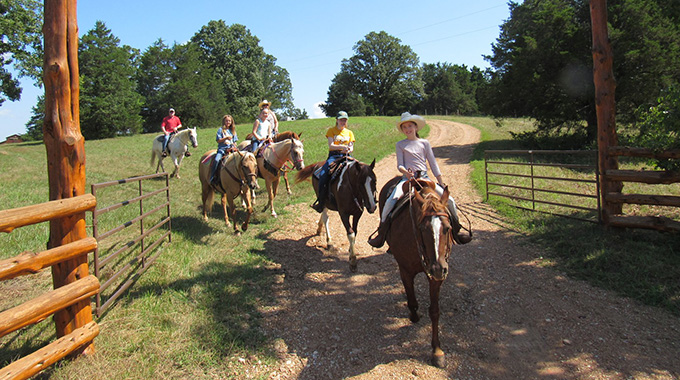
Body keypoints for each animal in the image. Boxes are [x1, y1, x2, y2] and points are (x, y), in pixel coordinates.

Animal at [378, 176, 456, 368]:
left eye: (448, 227)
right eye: (422, 229)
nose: (438, 269)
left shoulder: (436, 277)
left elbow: (434, 311)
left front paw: (437, 351)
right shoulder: (405, 270)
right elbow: (412, 302)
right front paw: (414, 316)